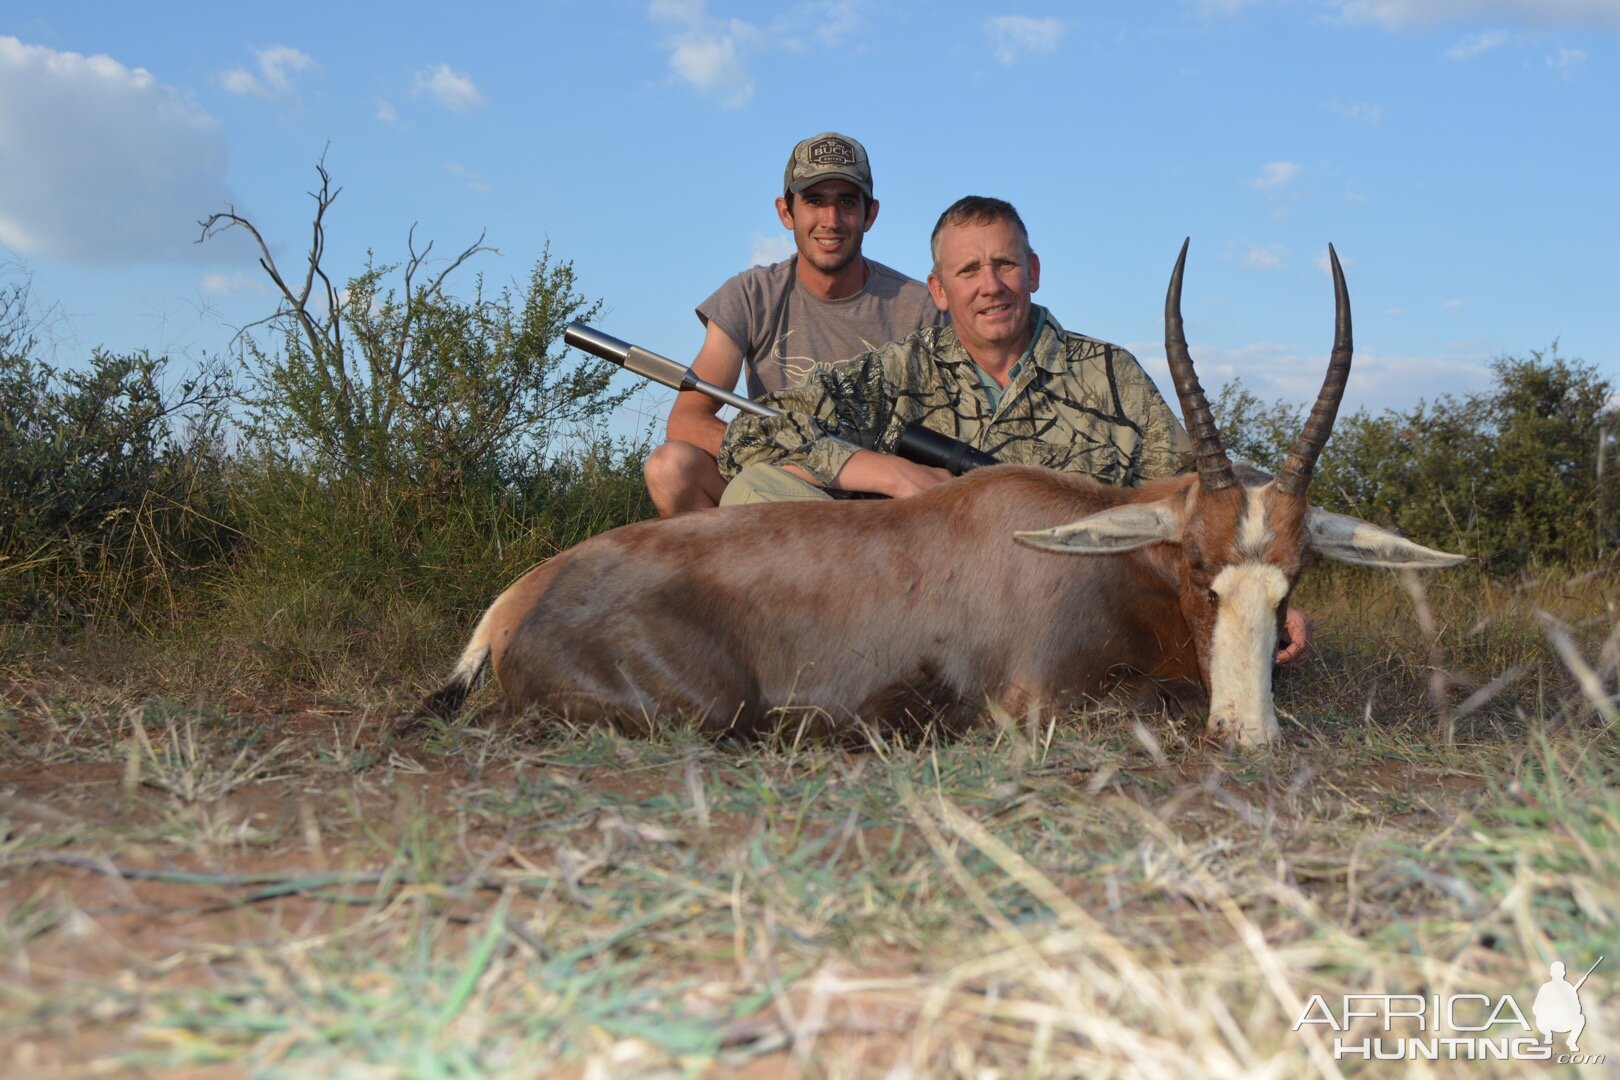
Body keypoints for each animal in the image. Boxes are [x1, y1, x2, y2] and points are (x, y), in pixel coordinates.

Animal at [424, 244, 1464, 748]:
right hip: (701, 709)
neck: (1088, 550)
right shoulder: (1037, 706)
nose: (1249, 734)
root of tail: (521, 596)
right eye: (1198, 563)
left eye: (1296, 574)